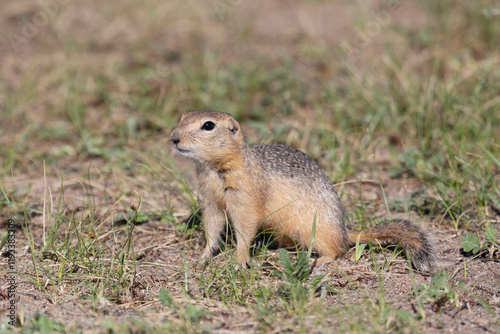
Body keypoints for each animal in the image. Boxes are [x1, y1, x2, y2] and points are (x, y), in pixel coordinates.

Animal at [170, 109, 436, 272]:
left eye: (208, 125)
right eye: (182, 117)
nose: (173, 138)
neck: (215, 168)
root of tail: (344, 230)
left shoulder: (245, 198)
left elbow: (244, 229)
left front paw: (239, 260)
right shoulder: (210, 200)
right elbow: (213, 226)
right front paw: (203, 256)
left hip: (314, 231)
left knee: (338, 249)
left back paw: (319, 261)